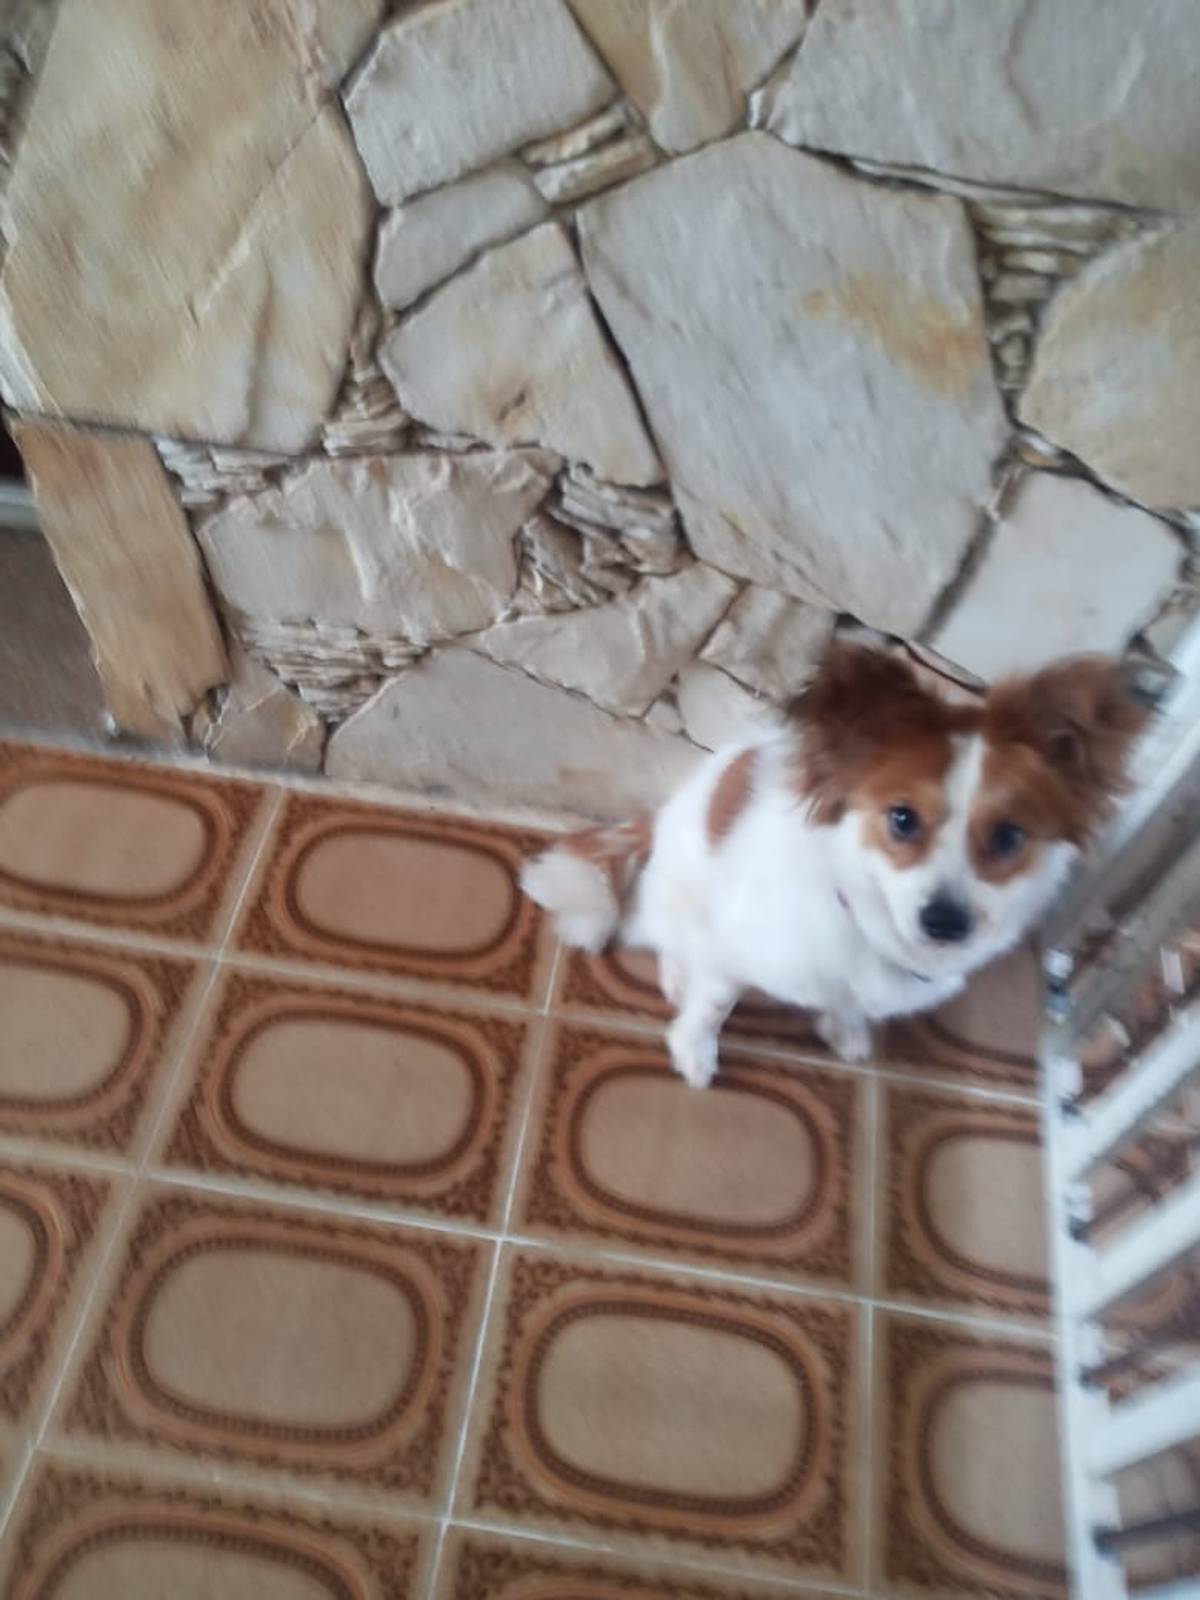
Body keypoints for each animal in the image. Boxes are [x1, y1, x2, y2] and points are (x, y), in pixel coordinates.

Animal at [522, 643, 1147, 1086]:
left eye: (1009, 836)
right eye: (902, 819)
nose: (945, 922)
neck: (865, 916)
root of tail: (660, 816)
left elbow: (850, 1005)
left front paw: (845, 1029)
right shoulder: (735, 951)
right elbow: (714, 1005)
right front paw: (695, 1051)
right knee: (655, 932)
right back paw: (676, 972)